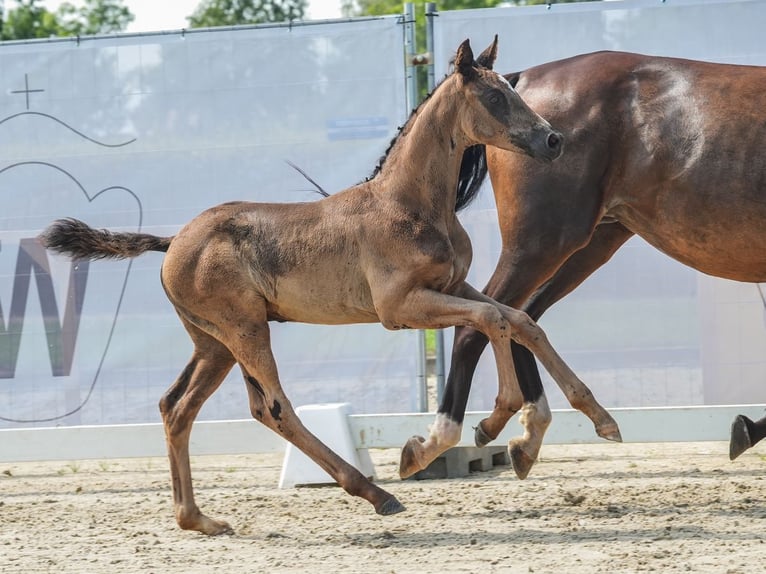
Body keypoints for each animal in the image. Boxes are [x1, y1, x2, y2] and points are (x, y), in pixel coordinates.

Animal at [39, 38, 612, 536]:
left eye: (514, 90)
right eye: (495, 97)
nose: (553, 140)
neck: (409, 203)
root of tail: (173, 241)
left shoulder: (456, 285)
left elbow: (519, 320)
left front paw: (594, 419)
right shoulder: (401, 308)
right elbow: (493, 320)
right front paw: (486, 426)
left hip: (214, 343)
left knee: (178, 407)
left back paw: (198, 519)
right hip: (244, 330)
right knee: (273, 408)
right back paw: (377, 494)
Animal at [396, 50, 766, 482]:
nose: (550, 140)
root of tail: (523, 78)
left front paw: (747, 428)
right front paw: (747, 429)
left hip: (588, 245)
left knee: (521, 316)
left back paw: (528, 433)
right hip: (542, 243)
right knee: (483, 321)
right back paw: (440, 442)